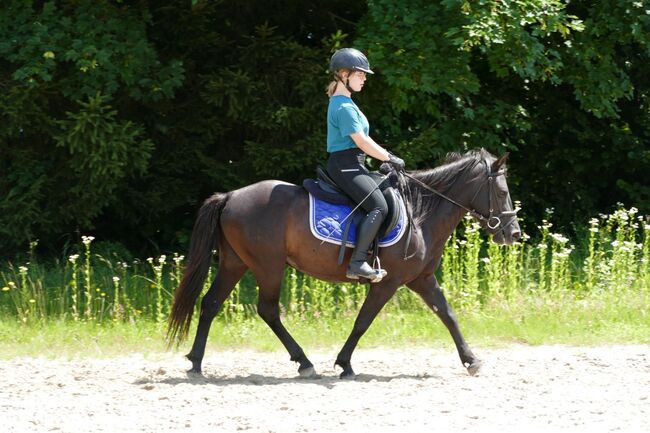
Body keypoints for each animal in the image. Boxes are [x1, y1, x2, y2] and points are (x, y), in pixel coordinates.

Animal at [168, 148, 520, 378]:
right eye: (502, 191)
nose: (513, 233)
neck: (420, 213)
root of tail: (230, 196)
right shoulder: (389, 282)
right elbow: (363, 321)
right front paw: (344, 364)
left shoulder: (421, 279)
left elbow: (447, 314)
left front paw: (471, 360)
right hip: (268, 266)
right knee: (267, 310)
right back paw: (304, 362)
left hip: (235, 263)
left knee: (211, 303)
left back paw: (196, 362)